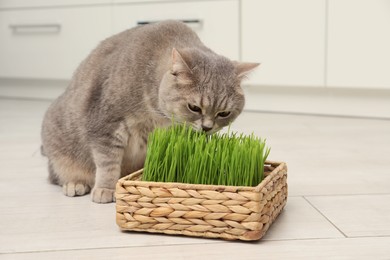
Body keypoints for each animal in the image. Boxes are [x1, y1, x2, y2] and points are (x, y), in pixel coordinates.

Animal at [40, 20, 258, 203]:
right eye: (195, 108)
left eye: (224, 113)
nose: (207, 128)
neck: (156, 113)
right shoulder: (106, 124)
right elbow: (108, 163)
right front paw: (105, 189)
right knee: (56, 175)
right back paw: (74, 183)